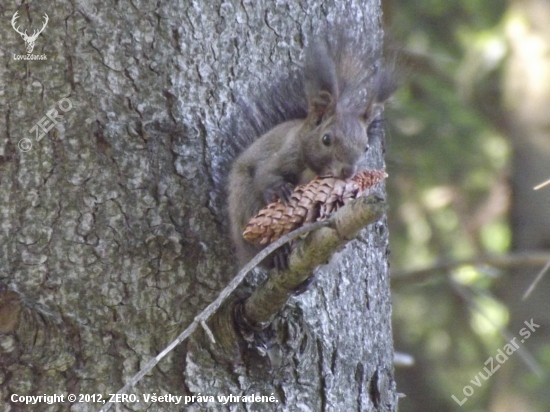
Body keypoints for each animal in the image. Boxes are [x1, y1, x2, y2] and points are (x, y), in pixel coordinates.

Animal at [224, 28, 402, 270]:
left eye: (366, 147)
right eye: (326, 139)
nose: (348, 172)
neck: (315, 169)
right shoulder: (285, 154)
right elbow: (265, 174)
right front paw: (280, 189)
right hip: (246, 206)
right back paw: (277, 255)